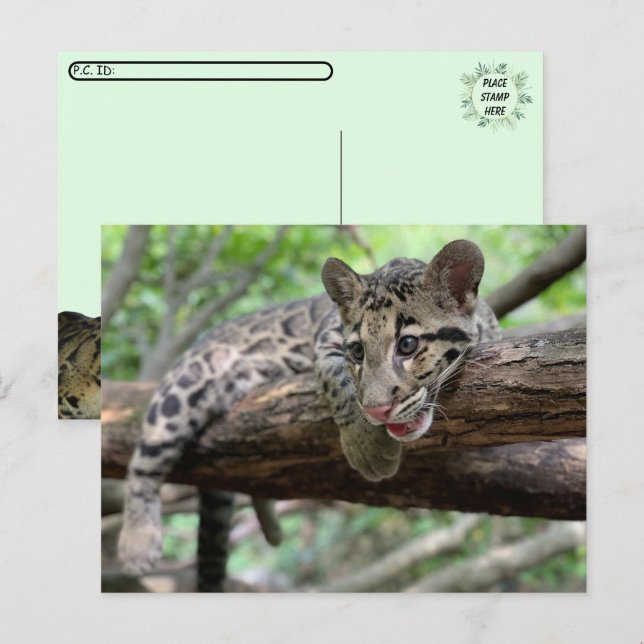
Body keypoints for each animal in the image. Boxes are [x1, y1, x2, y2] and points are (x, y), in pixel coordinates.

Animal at [118, 239, 501, 585]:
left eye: (408, 345)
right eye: (357, 352)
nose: (378, 410)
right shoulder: (326, 338)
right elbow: (339, 380)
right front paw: (366, 444)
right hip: (185, 386)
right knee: (145, 459)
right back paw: (137, 541)